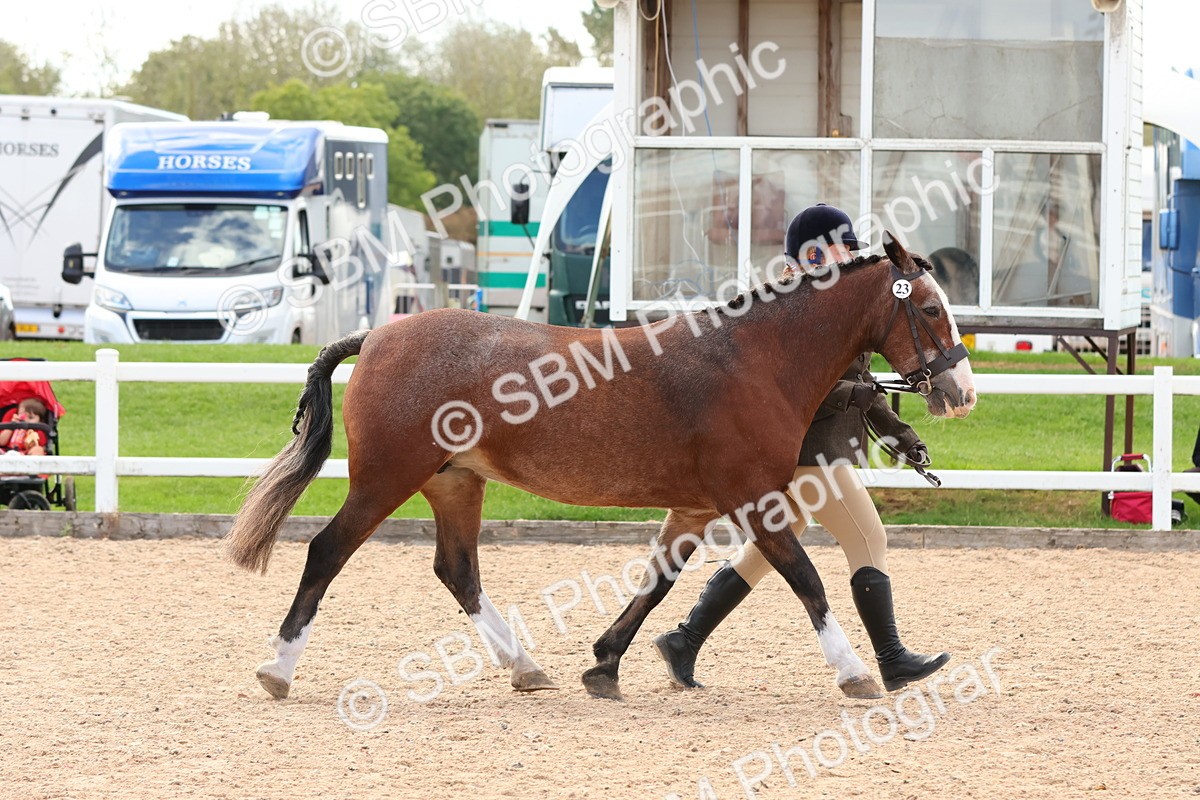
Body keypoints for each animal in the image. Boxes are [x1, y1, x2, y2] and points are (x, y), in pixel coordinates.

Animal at [225, 233, 976, 702]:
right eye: (930, 307)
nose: (961, 391)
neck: (753, 359)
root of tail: (378, 333)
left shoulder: (697, 507)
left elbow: (659, 585)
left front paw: (608, 663)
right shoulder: (753, 499)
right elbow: (807, 580)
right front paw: (854, 673)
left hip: (455, 482)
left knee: (457, 571)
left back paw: (526, 667)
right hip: (385, 479)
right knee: (326, 553)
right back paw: (276, 669)